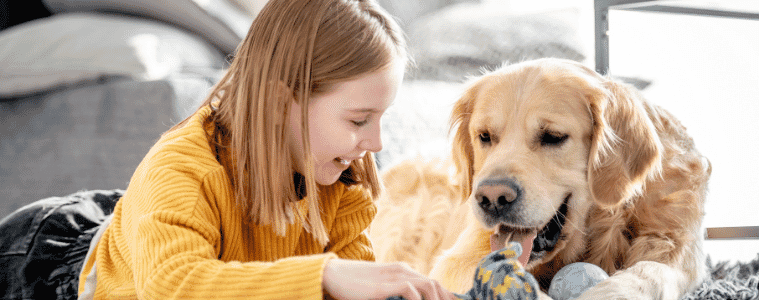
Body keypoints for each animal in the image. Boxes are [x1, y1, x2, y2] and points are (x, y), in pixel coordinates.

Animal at [372, 58, 708, 300]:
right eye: (485, 136)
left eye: (553, 137)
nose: (492, 198)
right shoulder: (458, 259)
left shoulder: (674, 240)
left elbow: (651, 270)